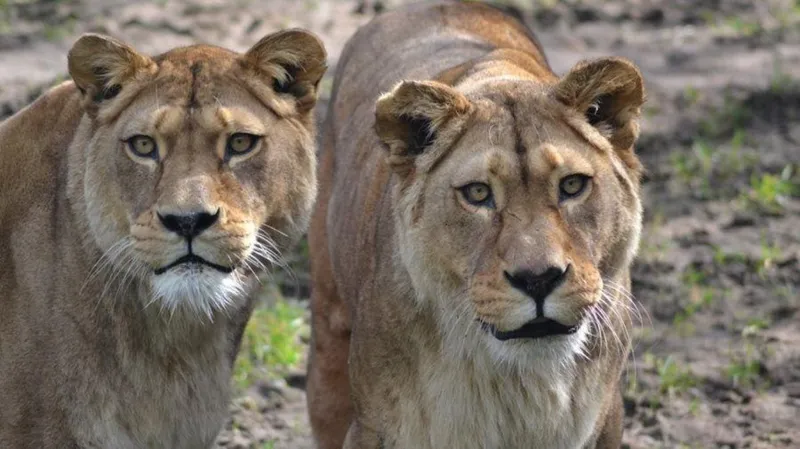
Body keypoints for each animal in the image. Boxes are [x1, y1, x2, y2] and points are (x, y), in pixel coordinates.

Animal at [307, 1, 645, 448]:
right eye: (478, 193)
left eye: (572, 185)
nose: (538, 279)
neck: (519, 384)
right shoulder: (374, 428)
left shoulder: (606, 420)